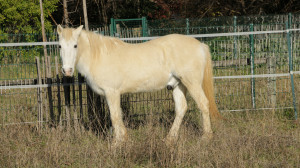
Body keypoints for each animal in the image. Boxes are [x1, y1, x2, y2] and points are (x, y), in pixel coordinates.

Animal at [57, 25, 221, 146]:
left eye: (75, 45)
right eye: (59, 46)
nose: (67, 70)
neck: (99, 56)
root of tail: (200, 45)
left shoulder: (112, 92)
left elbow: (115, 116)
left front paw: (117, 143)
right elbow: (118, 116)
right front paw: (124, 139)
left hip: (192, 83)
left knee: (203, 104)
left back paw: (206, 137)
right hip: (178, 85)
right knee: (181, 108)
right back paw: (169, 139)